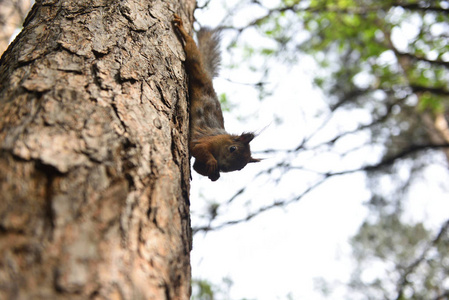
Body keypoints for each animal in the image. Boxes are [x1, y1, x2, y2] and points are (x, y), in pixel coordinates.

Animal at [173, 14, 260, 180]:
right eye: (232, 148)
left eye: (240, 168)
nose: (223, 167)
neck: (221, 140)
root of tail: (208, 78)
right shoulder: (204, 140)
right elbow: (198, 148)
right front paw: (213, 163)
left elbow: (197, 167)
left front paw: (214, 174)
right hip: (197, 68)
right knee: (192, 52)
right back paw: (182, 30)